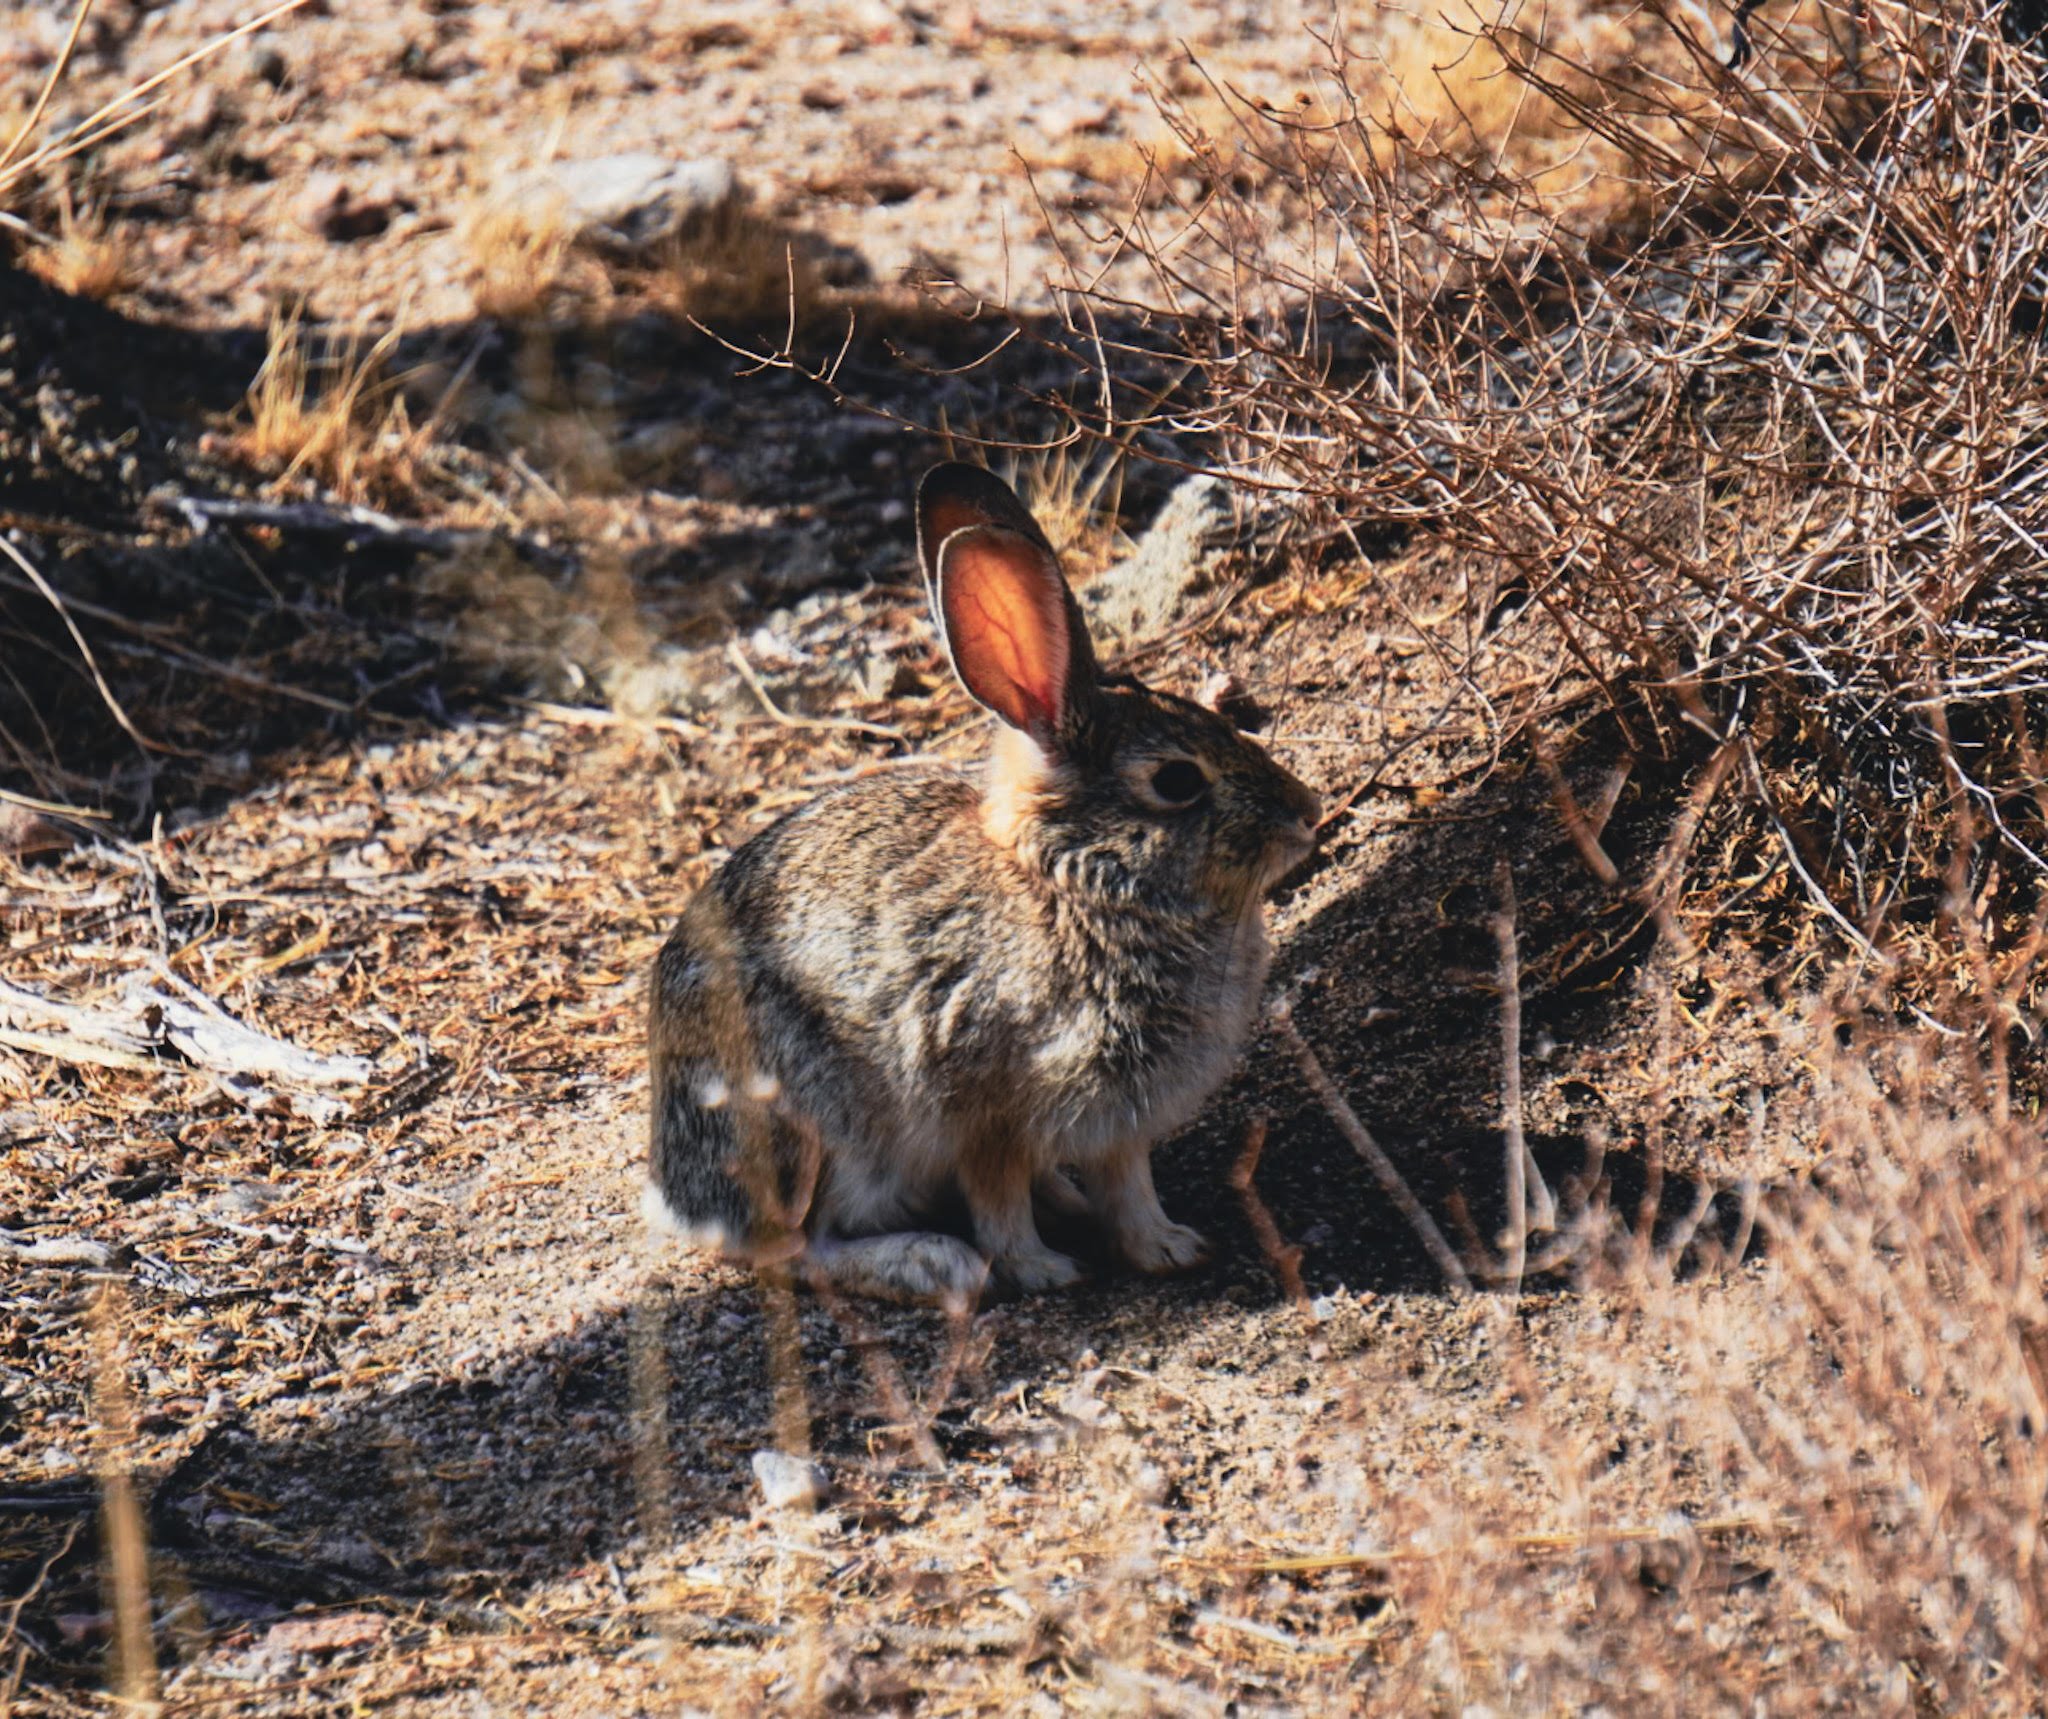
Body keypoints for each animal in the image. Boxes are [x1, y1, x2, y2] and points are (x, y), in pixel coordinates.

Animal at [644, 461, 1320, 1304]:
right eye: (1176, 781)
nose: (1306, 812)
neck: (1078, 885)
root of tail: (676, 1192)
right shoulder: (988, 1107)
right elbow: (998, 1198)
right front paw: (1041, 1269)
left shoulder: (1119, 1117)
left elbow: (1128, 1184)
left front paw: (1168, 1246)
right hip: (809, 1127)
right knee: (791, 1247)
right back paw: (933, 1259)